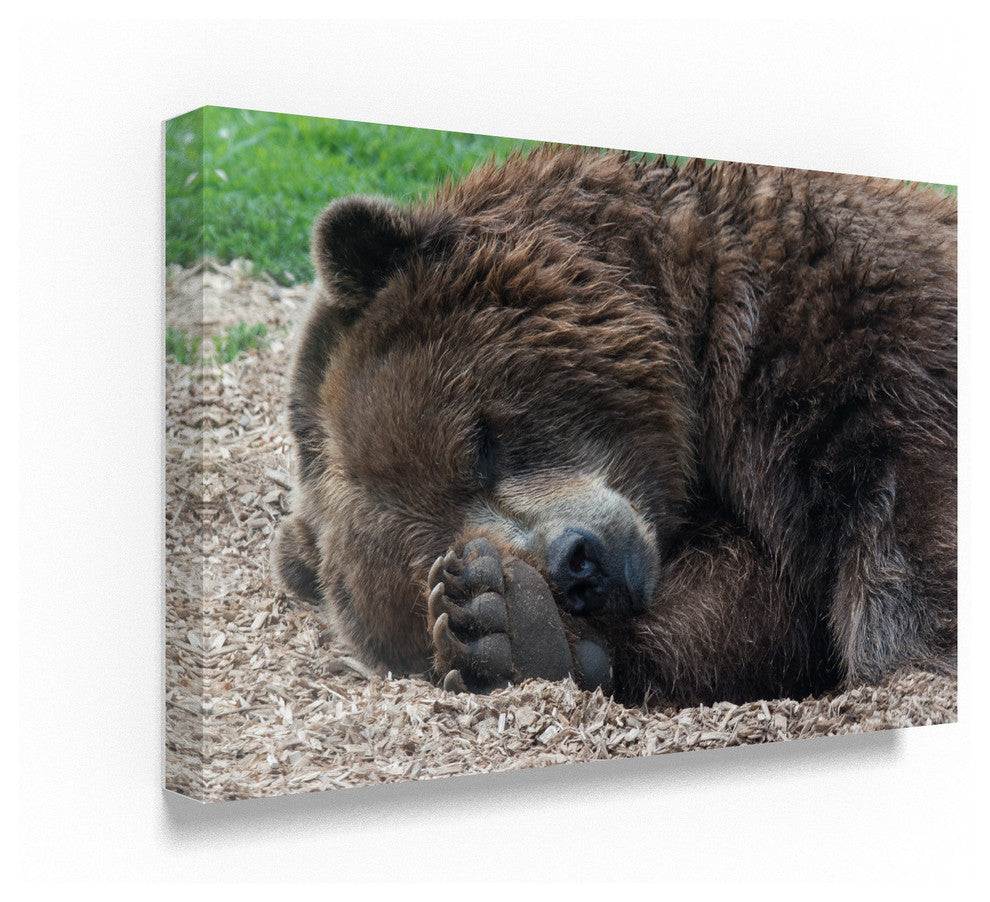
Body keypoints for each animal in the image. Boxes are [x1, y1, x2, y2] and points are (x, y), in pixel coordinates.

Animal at [271, 146, 957, 707]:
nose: (579, 566)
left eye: (480, 442)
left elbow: (906, 497)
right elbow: (749, 610)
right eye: (435, 553)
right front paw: (507, 626)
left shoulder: (845, 319)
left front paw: (908, 662)